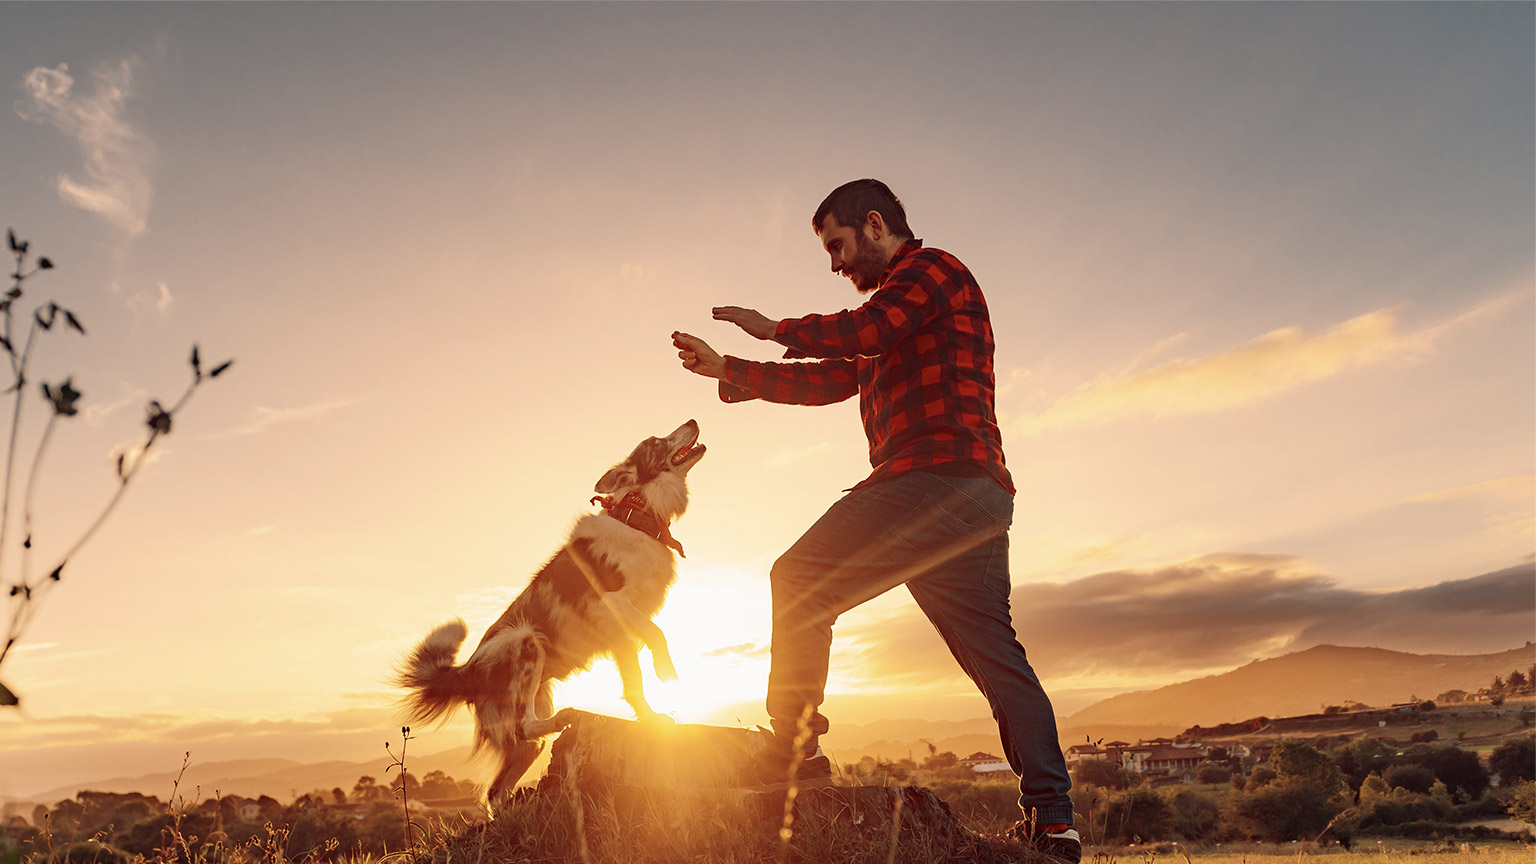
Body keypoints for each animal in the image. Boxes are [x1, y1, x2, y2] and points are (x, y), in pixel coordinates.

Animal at [396, 421, 706, 799]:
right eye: (657, 442)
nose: (692, 421)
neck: (636, 516)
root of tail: (467, 671)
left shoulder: (620, 636)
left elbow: (634, 682)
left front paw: (649, 716)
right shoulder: (612, 603)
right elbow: (657, 635)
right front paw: (666, 673)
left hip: (529, 735)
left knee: (497, 789)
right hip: (525, 641)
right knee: (526, 726)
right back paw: (564, 716)